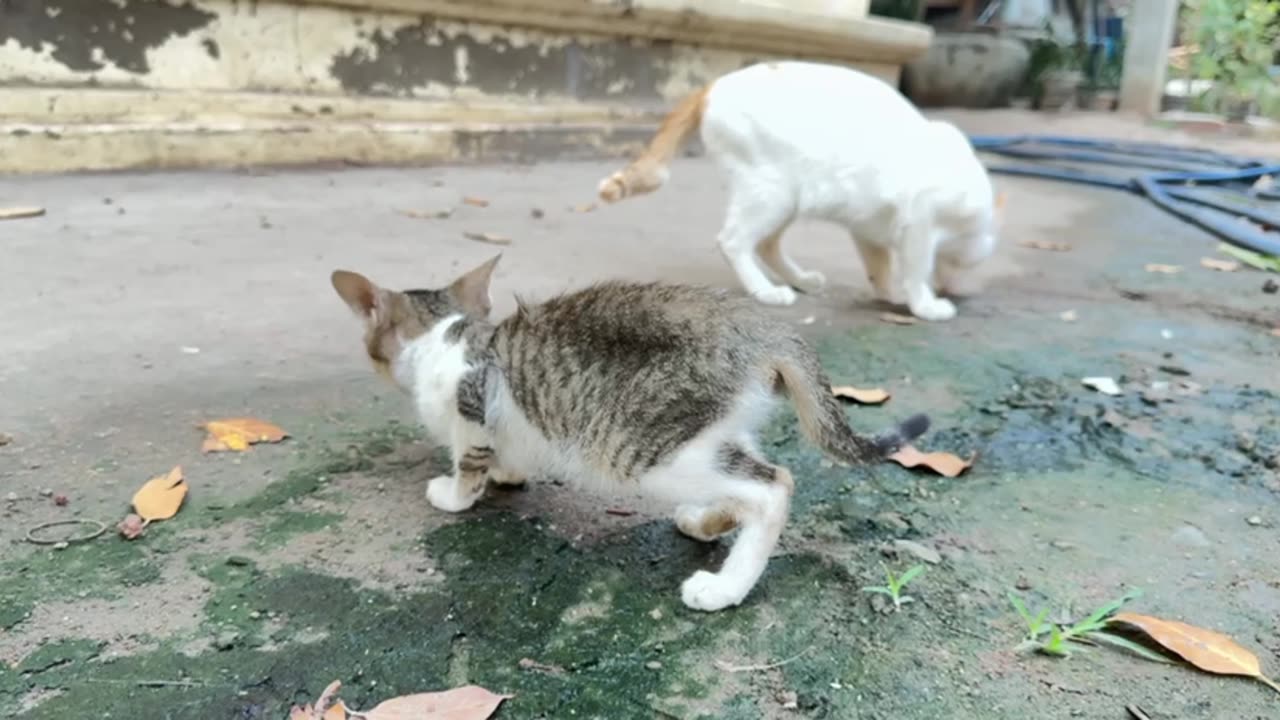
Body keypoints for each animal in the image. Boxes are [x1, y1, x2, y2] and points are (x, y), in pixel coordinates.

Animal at [332, 254, 931, 607]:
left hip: (648, 447)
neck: (446, 335)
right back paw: (704, 521)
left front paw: (455, 493)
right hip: (712, 431)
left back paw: (725, 586)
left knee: (773, 486)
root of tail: (765, 332)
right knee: (747, 474)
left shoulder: (472, 404)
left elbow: (468, 461)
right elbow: (509, 454)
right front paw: (508, 475)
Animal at [596, 61, 998, 319]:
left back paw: (799, 280)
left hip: (786, 198)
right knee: (733, 240)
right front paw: (924, 304)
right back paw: (764, 290)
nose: (954, 289)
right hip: (770, 192)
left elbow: (879, 265)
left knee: (766, 244)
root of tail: (714, 85)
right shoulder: (920, 222)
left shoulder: (869, 227)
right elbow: (916, 267)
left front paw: (889, 292)